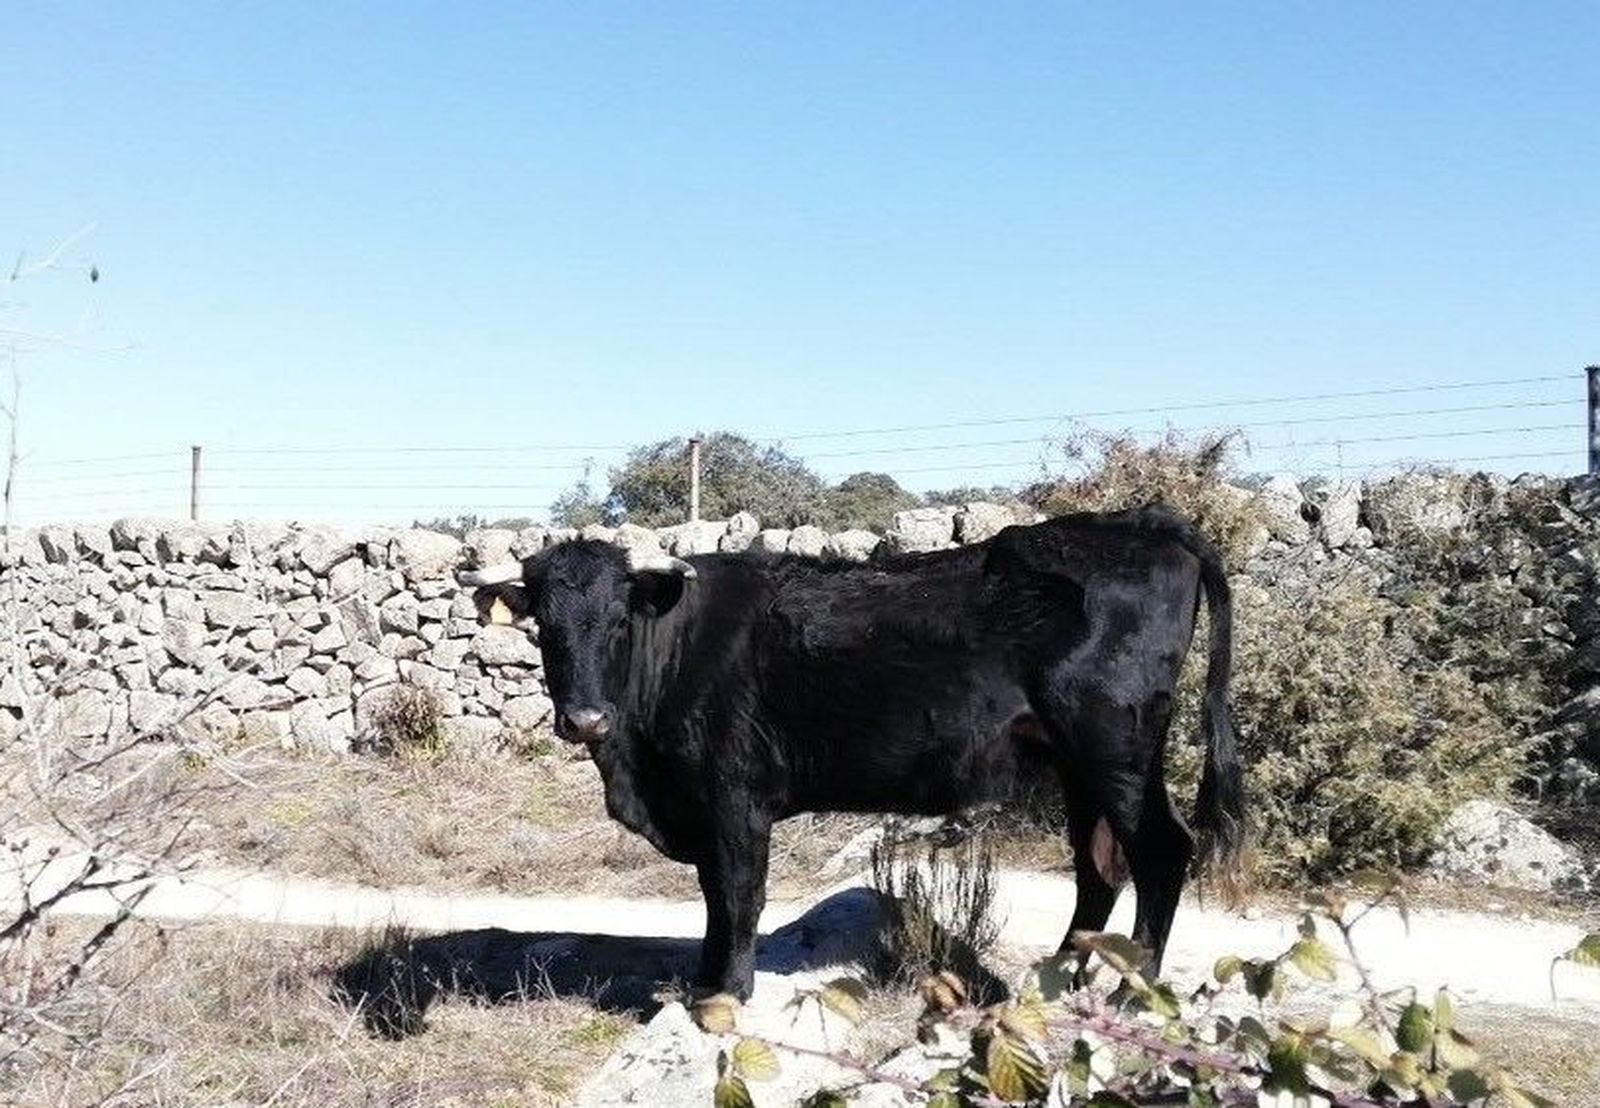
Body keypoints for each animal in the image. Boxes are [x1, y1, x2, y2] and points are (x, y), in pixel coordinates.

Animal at [456, 506, 1244, 1002]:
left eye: (618, 620)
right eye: (544, 624)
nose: (585, 719)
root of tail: (1142, 522)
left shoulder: (734, 795)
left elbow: (737, 894)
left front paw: (729, 991)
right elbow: (711, 896)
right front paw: (703, 981)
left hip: (1114, 744)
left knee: (1161, 850)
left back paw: (1129, 988)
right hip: (1077, 761)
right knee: (1098, 865)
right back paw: (1063, 977)